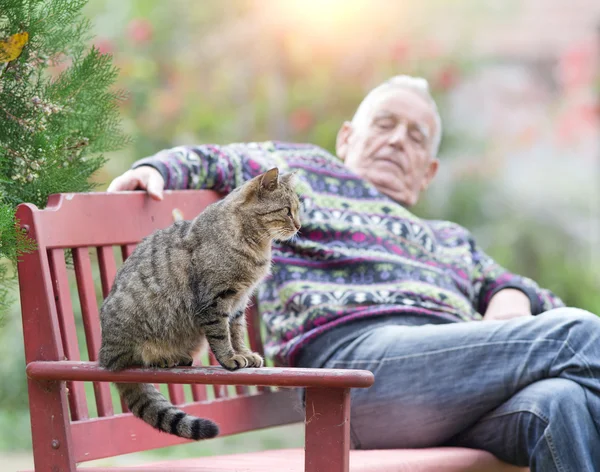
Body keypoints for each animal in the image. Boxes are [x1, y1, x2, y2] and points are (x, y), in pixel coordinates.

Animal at [100, 168, 302, 440]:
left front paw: (245, 353)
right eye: (287, 210)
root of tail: (104, 356)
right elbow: (221, 336)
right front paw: (231, 358)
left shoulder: (239, 302)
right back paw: (162, 358)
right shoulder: (215, 301)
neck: (255, 245)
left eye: (297, 209)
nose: (299, 226)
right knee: (134, 359)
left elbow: (237, 333)